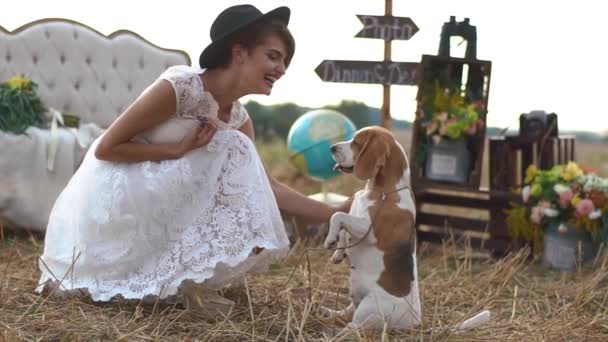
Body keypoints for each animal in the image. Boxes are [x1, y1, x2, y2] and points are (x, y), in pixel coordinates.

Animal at [324, 127, 422, 330]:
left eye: (356, 142)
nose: (332, 147)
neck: (382, 191)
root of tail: (416, 320)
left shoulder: (368, 230)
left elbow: (337, 215)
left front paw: (330, 239)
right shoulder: (354, 216)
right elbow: (343, 227)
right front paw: (338, 253)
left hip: (369, 306)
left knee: (353, 327)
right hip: (356, 301)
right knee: (347, 313)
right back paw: (330, 313)